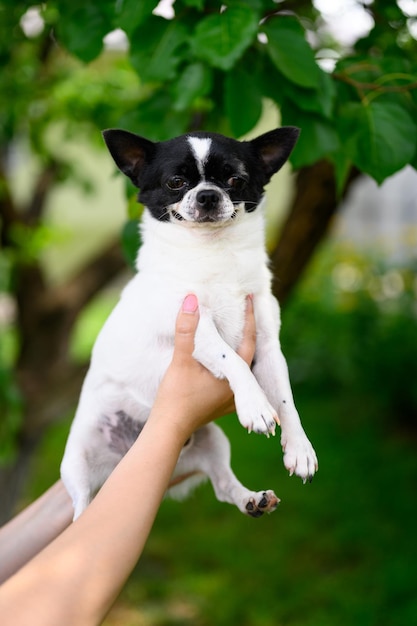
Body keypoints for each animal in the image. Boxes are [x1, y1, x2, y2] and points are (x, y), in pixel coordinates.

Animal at [60, 125, 316, 516]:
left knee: (223, 486)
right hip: (76, 462)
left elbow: (286, 399)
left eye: (235, 179)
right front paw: (256, 405)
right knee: (83, 506)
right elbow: (232, 359)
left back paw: (252, 500)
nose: (208, 195)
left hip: (214, 441)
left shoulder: (269, 345)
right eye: (176, 182)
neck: (213, 251)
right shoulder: (195, 325)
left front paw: (300, 448)